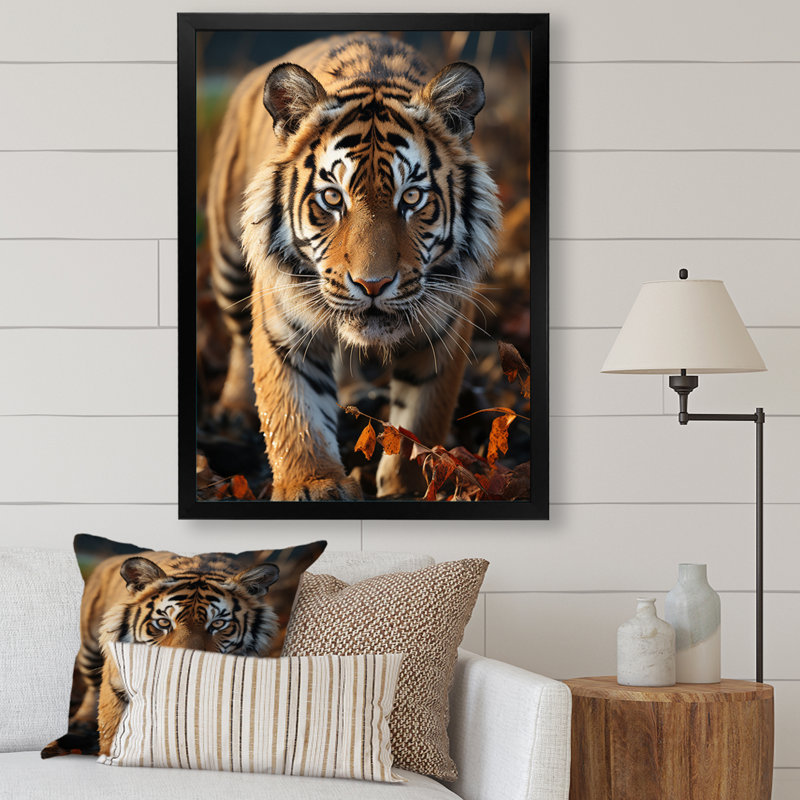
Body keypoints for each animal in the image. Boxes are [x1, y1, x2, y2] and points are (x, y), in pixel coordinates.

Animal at [207, 33, 502, 501]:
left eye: (412, 197)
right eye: (332, 198)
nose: (372, 285)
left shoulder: (445, 327)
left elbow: (421, 419)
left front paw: (406, 488)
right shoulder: (283, 326)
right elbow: (296, 414)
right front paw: (313, 484)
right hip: (227, 258)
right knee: (237, 339)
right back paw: (233, 409)